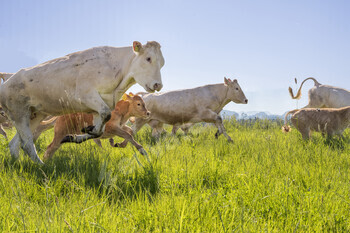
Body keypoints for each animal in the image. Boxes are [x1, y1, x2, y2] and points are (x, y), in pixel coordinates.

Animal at [0, 40, 165, 164]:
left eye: (162, 63)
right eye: (148, 58)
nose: (158, 85)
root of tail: (6, 83)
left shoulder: (98, 109)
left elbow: (99, 130)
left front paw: (76, 135)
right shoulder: (86, 96)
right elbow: (105, 119)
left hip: (35, 115)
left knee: (15, 144)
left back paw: (20, 164)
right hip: (19, 113)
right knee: (27, 143)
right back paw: (42, 167)